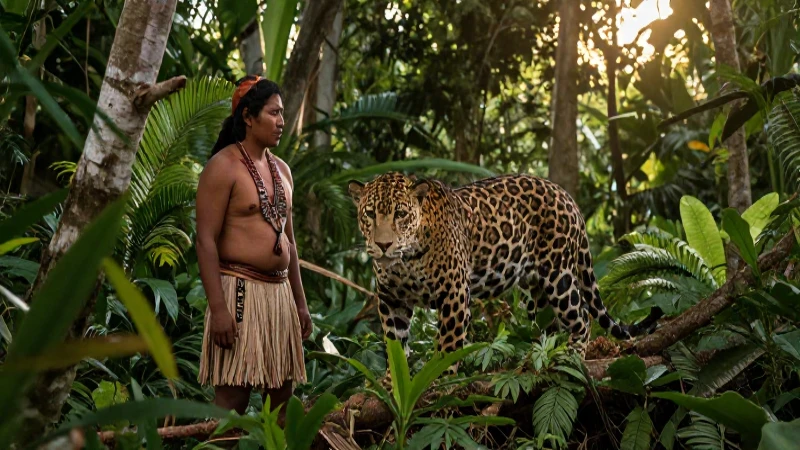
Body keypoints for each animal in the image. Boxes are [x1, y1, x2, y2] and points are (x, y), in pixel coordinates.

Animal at [347, 172, 662, 366]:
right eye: (369, 214)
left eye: (400, 214)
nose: (383, 245)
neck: (406, 260)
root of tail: (566, 196)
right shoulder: (392, 300)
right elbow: (394, 346)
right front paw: (393, 387)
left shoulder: (453, 294)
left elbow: (447, 347)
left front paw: (435, 383)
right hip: (537, 292)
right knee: (551, 325)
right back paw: (543, 355)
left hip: (558, 274)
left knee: (582, 317)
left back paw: (571, 357)